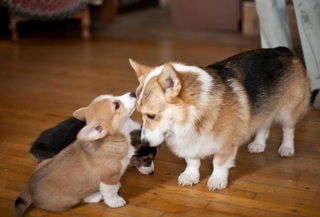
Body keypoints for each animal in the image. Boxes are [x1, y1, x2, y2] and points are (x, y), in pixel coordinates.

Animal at [13, 92, 141, 216]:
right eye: (116, 105)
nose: (133, 93)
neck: (115, 138)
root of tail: (30, 186)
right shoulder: (109, 178)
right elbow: (110, 192)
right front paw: (115, 201)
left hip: (44, 161)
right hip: (70, 199)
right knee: (81, 199)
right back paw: (96, 196)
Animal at [129, 48, 310, 192]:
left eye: (151, 115)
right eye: (140, 113)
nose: (143, 143)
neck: (193, 113)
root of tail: (284, 49)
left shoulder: (226, 145)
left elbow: (219, 163)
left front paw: (217, 180)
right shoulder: (189, 143)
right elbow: (192, 161)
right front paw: (190, 176)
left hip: (287, 112)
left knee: (288, 129)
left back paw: (287, 148)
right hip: (264, 107)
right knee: (263, 125)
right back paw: (258, 144)